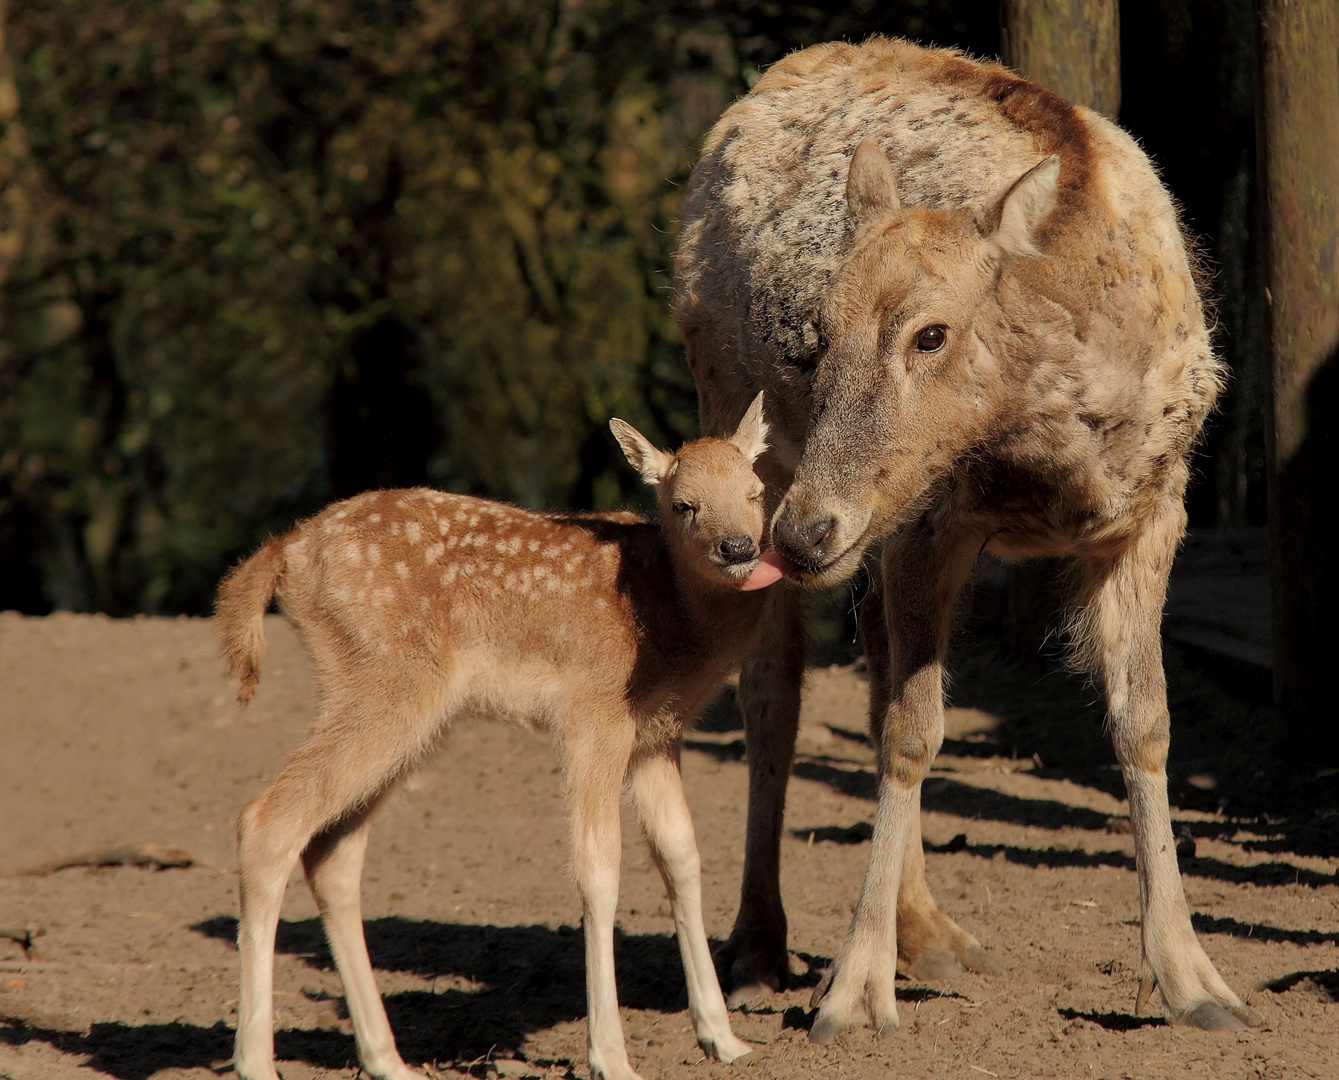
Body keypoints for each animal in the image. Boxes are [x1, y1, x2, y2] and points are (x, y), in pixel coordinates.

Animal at [674, 37, 1258, 1043]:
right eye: (815, 336)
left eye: (929, 333)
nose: (806, 531)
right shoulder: (931, 519)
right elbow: (914, 732)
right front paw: (852, 994)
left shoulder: (1155, 506)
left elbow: (1143, 722)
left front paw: (1194, 981)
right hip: (735, 418)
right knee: (773, 687)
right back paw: (757, 948)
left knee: (868, 649)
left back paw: (929, 935)